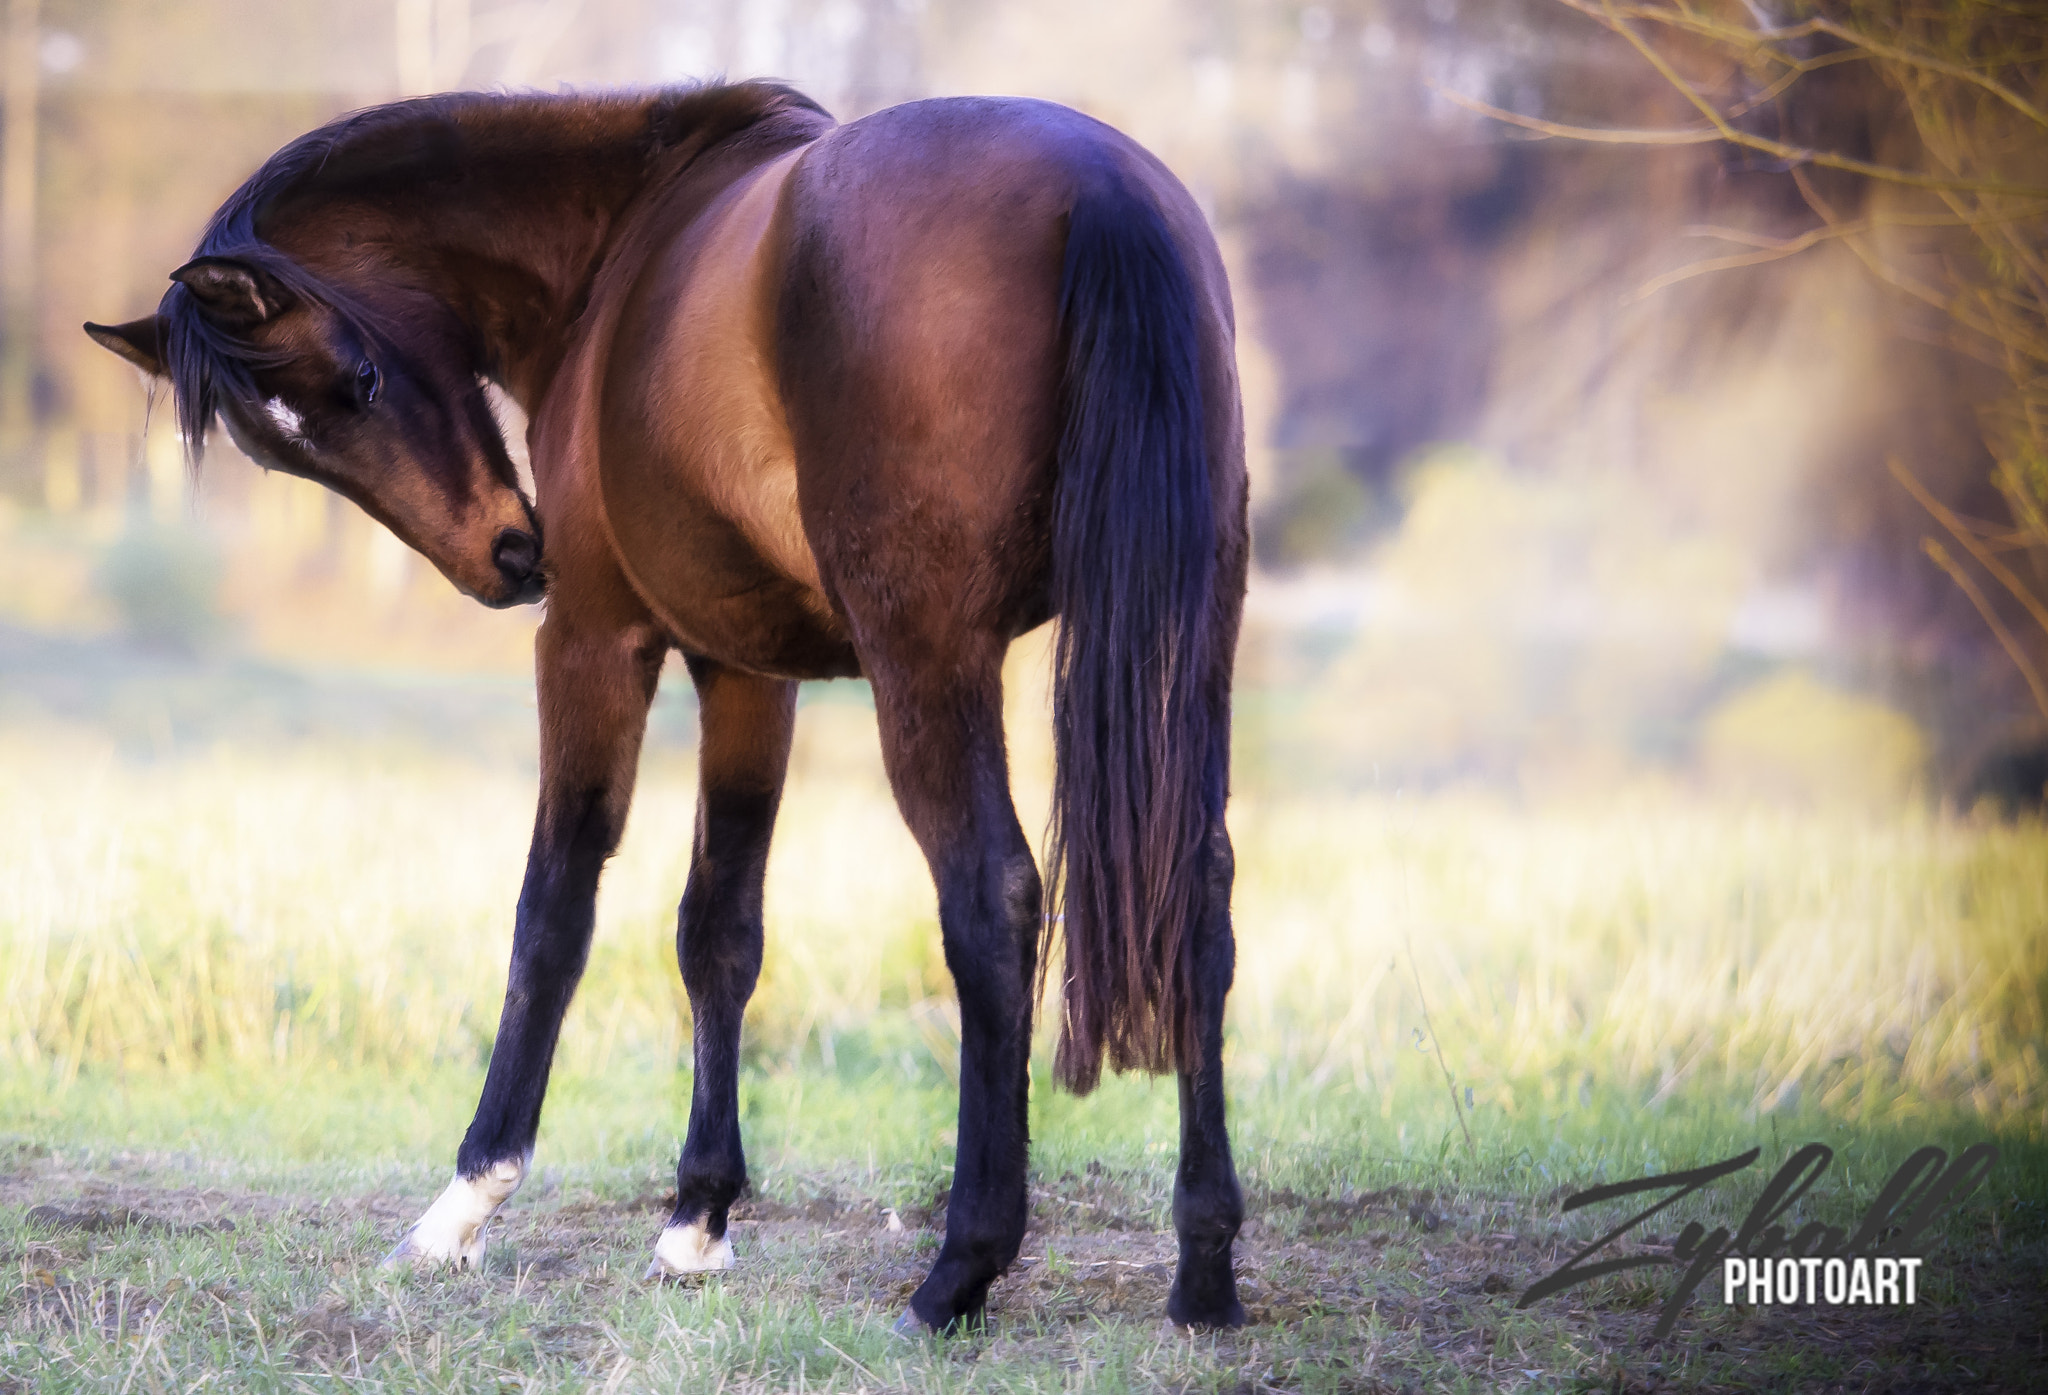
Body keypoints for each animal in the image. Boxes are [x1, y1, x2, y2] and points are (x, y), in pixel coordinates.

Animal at [85, 80, 1250, 1333]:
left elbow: (553, 912)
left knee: (990, 899)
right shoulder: (747, 672)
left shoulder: (594, 642)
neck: (620, 247)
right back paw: (1202, 1269)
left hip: (927, 663)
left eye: (360, 380)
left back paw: (957, 1272)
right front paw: (697, 1219)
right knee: (1194, 890)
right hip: (1181, 644)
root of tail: (1096, 187)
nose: (505, 558)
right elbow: (718, 931)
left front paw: (464, 1205)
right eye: (285, 455)